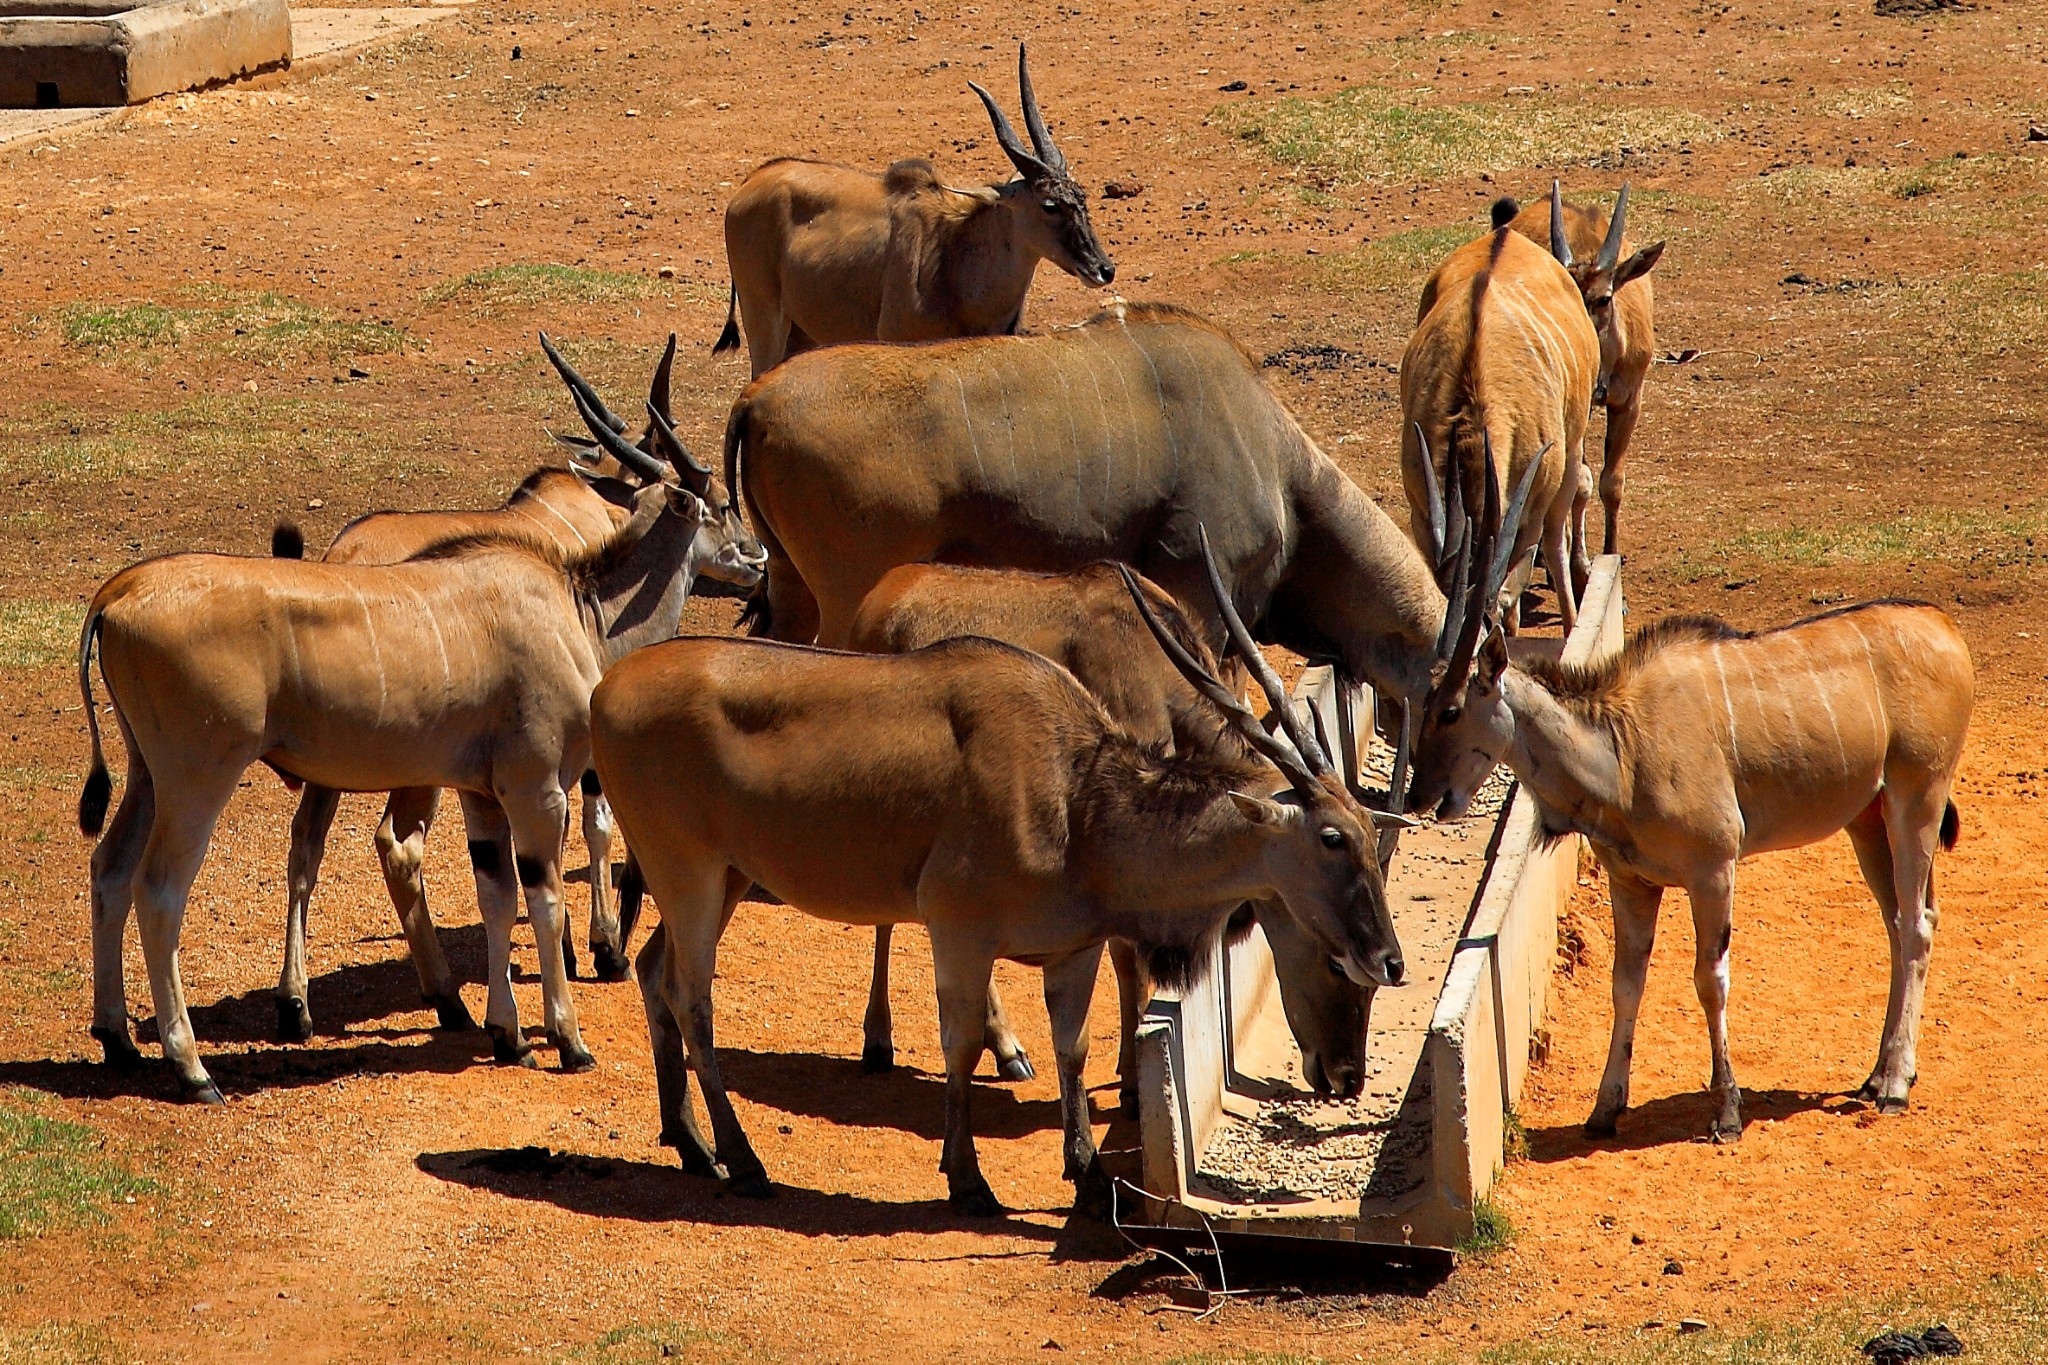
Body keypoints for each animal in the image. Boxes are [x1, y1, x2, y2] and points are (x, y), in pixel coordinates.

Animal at [712, 45, 1114, 376]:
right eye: (1050, 205)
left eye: (1082, 197)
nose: (1104, 269)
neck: (955, 257)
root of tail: (750, 183)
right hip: (764, 318)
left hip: (802, 333)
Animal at [839, 560, 1384, 1113]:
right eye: (1338, 968)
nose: (1347, 1077)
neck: (1155, 670)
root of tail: (877, 603)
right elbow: (1127, 960)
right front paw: (1131, 1082)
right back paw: (892, 1042)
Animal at [1490, 184, 1662, 564]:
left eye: (1604, 299)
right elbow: (1580, 485)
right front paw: (1575, 557)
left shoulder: (1630, 401)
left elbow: (1612, 483)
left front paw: (1611, 552)